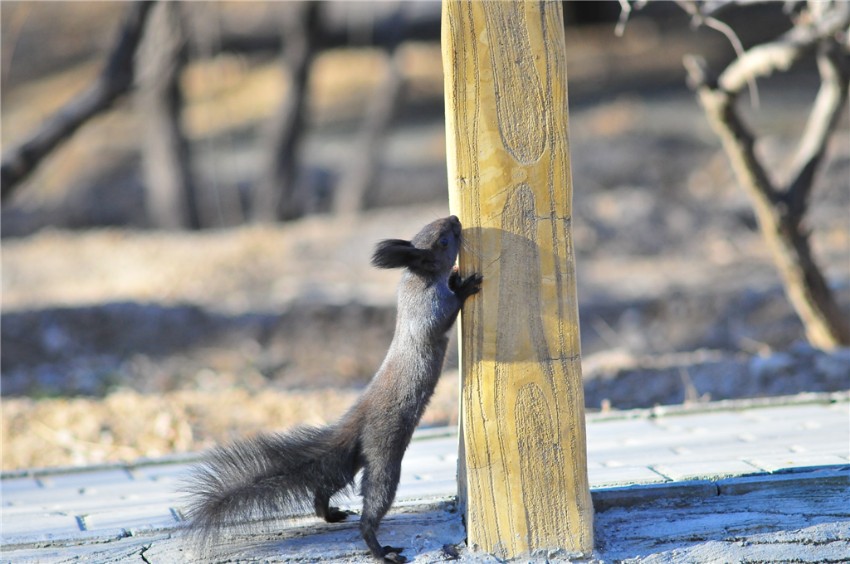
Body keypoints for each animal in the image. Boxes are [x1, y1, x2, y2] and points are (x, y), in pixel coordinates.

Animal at [182, 214, 480, 560]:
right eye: (443, 240)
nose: (455, 219)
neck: (419, 279)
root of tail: (354, 424)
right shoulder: (427, 311)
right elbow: (440, 320)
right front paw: (464, 286)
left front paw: (457, 276)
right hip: (384, 455)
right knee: (373, 504)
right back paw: (379, 549)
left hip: (350, 461)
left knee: (324, 484)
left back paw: (329, 513)